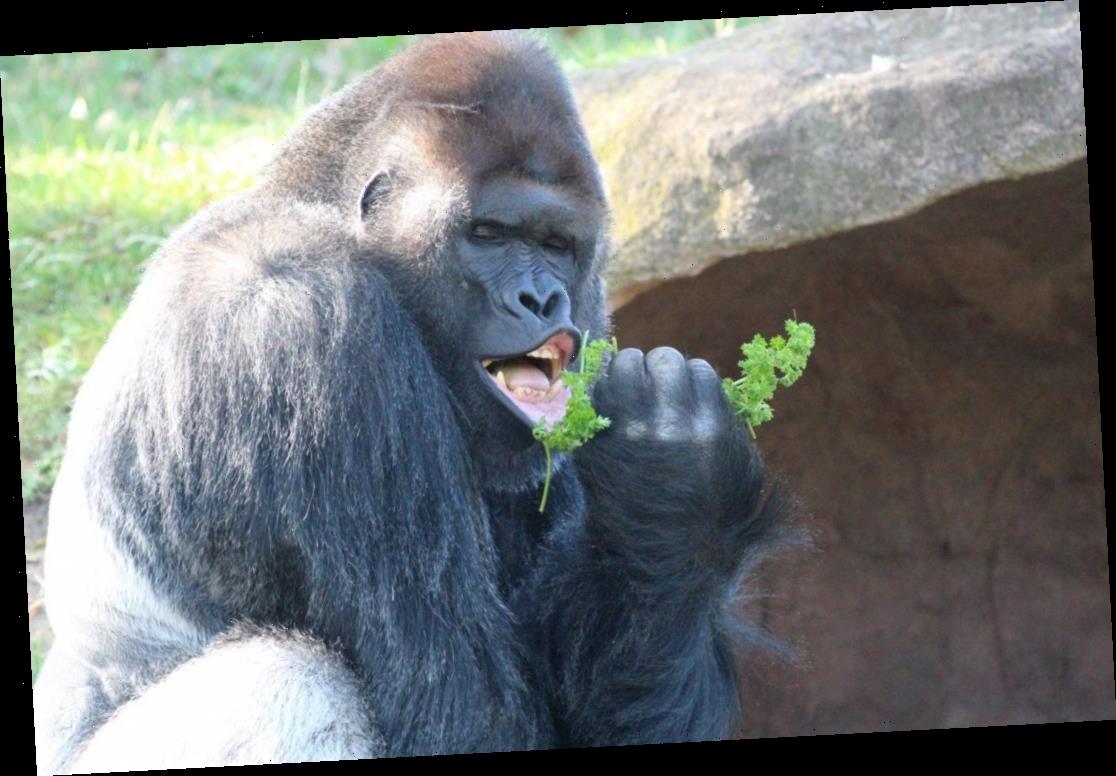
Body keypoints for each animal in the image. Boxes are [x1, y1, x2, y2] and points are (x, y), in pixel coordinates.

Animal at [30, 28, 790, 772]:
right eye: (487, 235)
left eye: (556, 244)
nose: (542, 299)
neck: (322, 210)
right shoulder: (309, 316)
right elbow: (463, 717)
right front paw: (674, 471)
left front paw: (670, 500)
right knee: (290, 679)